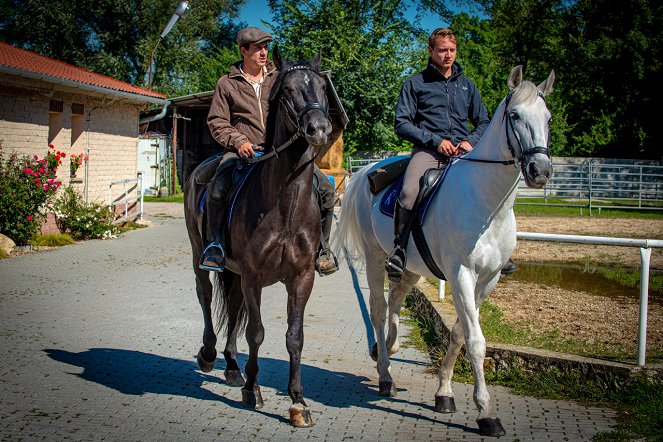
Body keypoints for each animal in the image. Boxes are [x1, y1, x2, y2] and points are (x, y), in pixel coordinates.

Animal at [184, 46, 332, 426]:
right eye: (289, 91)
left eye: (323, 90)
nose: (319, 128)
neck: (285, 204)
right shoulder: (253, 276)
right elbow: (256, 332)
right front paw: (254, 391)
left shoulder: (301, 277)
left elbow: (295, 337)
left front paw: (298, 402)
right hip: (201, 255)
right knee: (206, 296)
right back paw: (209, 354)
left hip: (234, 273)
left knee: (233, 306)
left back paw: (233, 368)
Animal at [338, 65, 556, 436]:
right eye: (514, 115)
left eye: (549, 118)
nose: (539, 171)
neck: (486, 205)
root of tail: (367, 170)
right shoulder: (461, 275)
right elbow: (476, 341)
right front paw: (486, 413)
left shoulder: (488, 279)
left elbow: (457, 334)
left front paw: (444, 393)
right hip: (374, 256)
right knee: (379, 308)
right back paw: (385, 374)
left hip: (410, 268)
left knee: (396, 299)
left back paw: (389, 347)